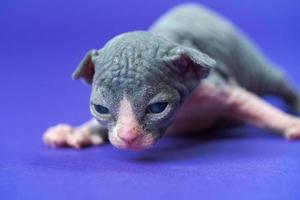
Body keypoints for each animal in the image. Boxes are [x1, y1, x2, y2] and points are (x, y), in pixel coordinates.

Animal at [42, 3, 300, 150]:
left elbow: (259, 110)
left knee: (277, 81)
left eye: (158, 108)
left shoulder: (214, 88)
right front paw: (76, 132)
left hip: (250, 61)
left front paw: (291, 124)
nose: (127, 137)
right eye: (101, 109)